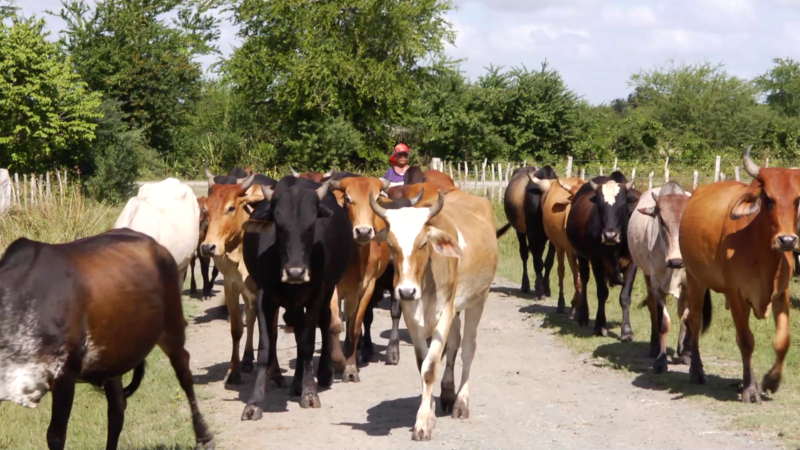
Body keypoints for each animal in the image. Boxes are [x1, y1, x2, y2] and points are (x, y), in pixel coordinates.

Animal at [0, 230, 214, 450]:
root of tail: (158, 246)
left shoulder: (64, 375)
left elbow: (55, 436)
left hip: (172, 326)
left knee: (185, 373)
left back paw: (203, 435)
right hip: (113, 358)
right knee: (117, 410)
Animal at [241, 176, 354, 418]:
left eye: (311, 227)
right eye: (279, 226)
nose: (295, 273)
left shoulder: (316, 295)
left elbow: (307, 344)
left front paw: (310, 392)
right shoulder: (265, 297)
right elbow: (265, 348)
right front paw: (254, 402)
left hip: (327, 291)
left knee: (322, 324)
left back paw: (321, 374)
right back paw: (295, 384)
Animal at [328, 176, 394, 380]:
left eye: (376, 199)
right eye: (348, 199)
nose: (363, 232)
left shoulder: (368, 288)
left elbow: (355, 328)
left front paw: (350, 368)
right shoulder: (333, 287)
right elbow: (334, 324)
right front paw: (338, 362)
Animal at [564, 173, 640, 342]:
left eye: (623, 206)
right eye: (600, 207)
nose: (610, 235)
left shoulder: (632, 264)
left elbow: (625, 297)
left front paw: (627, 331)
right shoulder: (597, 262)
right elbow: (602, 293)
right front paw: (600, 326)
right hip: (582, 257)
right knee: (584, 280)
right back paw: (583, 315)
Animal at [680, 147, 800, 400]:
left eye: (797, 200)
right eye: (769, 199)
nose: (787, 240)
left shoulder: (781, 294)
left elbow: (783, 341)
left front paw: (771, 381)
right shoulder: (736, 295)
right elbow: (746, 341)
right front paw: (751, 390)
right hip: (695, 279)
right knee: (694, 320)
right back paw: (697, 371)